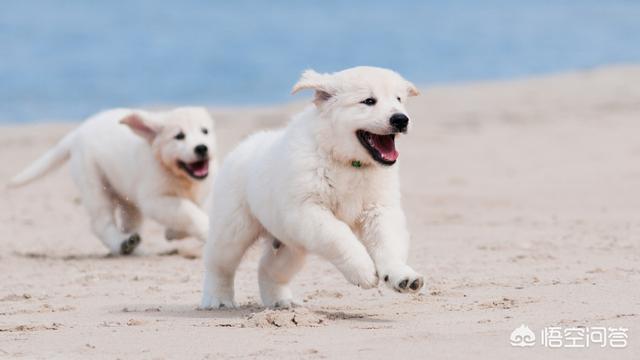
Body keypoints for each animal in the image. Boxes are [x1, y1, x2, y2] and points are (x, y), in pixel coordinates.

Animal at [10, 107, 216, 256]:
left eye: (205, 131)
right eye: (179, 136)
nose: (201, 148)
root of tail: (78, 132)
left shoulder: (206, 191)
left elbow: (196, 210)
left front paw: (173, 233)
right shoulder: (155, 199)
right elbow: (189, 212)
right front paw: (204, 230)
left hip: (127, 197)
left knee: (129, 223)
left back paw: (134, 246)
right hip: (93, 183)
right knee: (101, 223)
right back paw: (122, 244)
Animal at [202, 66, 422, 308]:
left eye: (399, 99)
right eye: (368, 101)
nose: (401, 119)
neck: (348, 163)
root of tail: (243, 145)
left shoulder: (379, 209)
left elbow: (388, 241)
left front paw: (401, 275)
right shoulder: (307, 209)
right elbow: (340, 235)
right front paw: (363, 270)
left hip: (291, 245)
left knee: (268, 269)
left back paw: (281, 302)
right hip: (234, 228)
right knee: (218, 263)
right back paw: (218, 299)